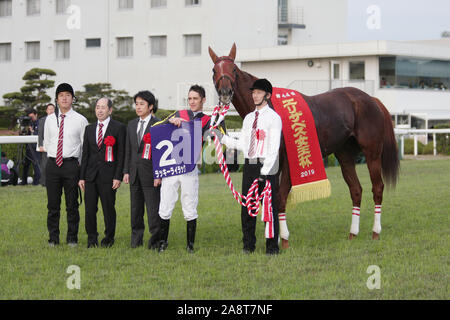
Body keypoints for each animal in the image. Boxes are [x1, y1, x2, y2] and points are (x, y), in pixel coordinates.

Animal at [209, 43, 400, 244]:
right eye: (214, 70)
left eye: (234, 70)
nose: (225, 93)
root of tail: (371, 99)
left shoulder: (287, 161)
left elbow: (280, 196)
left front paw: (283, 239)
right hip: (345, 155)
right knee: (356, 189)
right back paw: (353, 233)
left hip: (372, 152)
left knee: (377, 188)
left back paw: (375, 231)